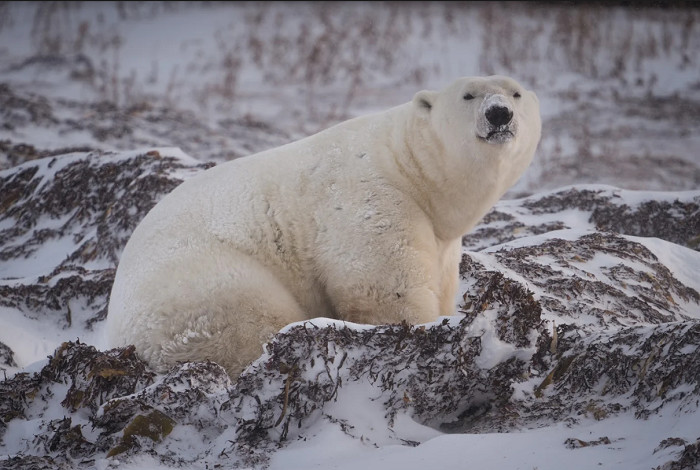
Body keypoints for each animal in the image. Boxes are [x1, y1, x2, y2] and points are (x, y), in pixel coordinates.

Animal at [105, 75, 541, 378]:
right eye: (468, 95)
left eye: (516, 93)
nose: (499, 113)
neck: (407, 167)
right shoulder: (370, 200)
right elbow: (385, 288)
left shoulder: (440, 238)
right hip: (204, 289)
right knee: (247, 322)